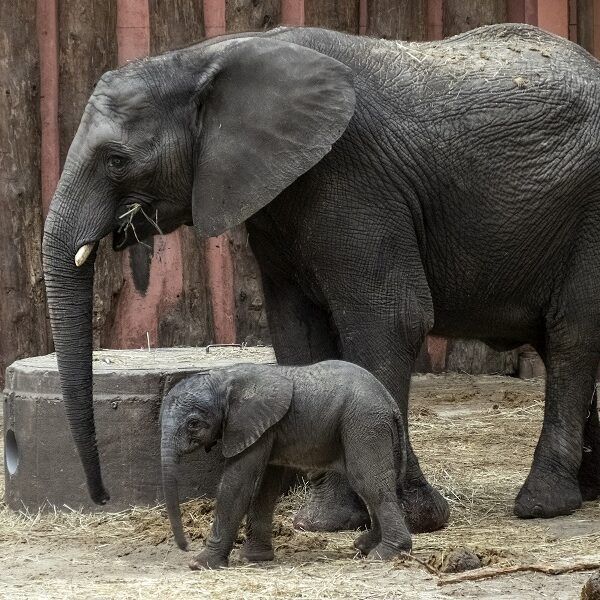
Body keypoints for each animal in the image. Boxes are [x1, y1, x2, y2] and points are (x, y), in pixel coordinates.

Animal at [44, 21, 600, 532]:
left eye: (117, 161)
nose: (101, 496)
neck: (203, 56)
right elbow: (299, 334)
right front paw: (343, 515)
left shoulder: (355, 178)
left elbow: (389, 322)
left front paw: (387, 517)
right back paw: (589, 490)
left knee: (573, 333)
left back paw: (544, 504)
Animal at [161, 358, 412, 568]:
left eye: (193, 424)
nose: (185, 547)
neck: (223, 378)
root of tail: (390, 402)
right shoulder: (266, 428)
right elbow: (265, 486)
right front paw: (254, 558)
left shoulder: (248, 425)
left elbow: (238, 484)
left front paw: (200, 564)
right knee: (370, 483)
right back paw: (365, 545)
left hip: (364, 423)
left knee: (367, 481)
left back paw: (385, 554)